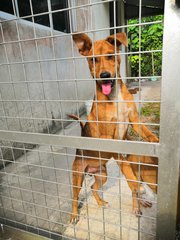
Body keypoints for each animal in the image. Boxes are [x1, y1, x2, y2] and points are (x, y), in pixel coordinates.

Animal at [70, 31, 159, 223]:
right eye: (93, 59)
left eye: (110, 55)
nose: (104, 75)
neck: (113, 96)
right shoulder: (110, 139)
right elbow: (125, 165)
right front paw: (135, 183)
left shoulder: (134, 120)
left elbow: (147, 133)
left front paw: (156, 141)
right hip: (77, 176)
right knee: (75, 196)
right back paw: (73, 215)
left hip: (102, 174)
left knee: (94, 188)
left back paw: (101, 202)